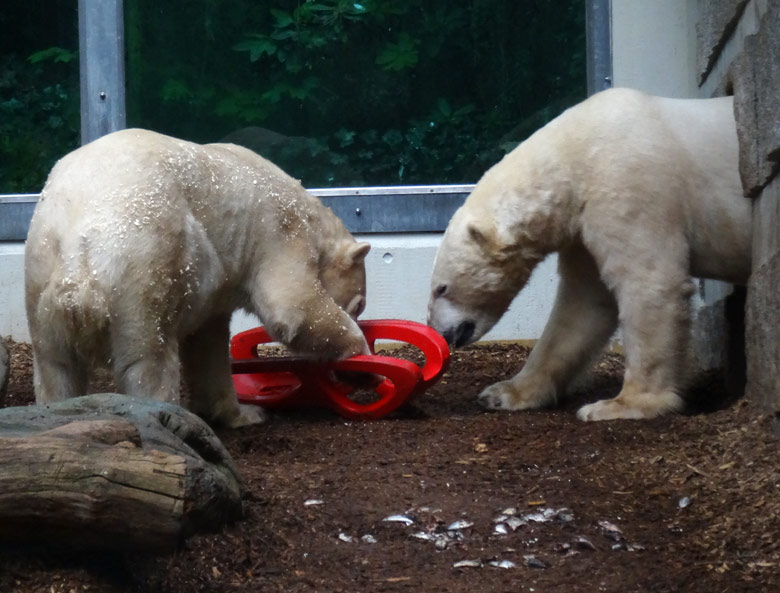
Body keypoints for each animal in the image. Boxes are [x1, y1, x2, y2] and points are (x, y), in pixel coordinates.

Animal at [25, 128, 374, 426]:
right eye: (358, 305)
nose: (359, 314)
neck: (306, 211)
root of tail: (81, 256)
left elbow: (207, 344)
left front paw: (240, 413)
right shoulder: (277, 230)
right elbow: (293, 306)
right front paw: (363, 360)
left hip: (42, 273)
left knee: (56, 367)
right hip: (142, 269)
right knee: (148, 363)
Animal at [426, 88, 748, 420]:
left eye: (441, 288)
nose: (441, 332)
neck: (576, 155)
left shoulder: (631, 188)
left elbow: (650, 283)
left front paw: (621, 405)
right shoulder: (583, 226)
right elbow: (583, 304)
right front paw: (503, 393)